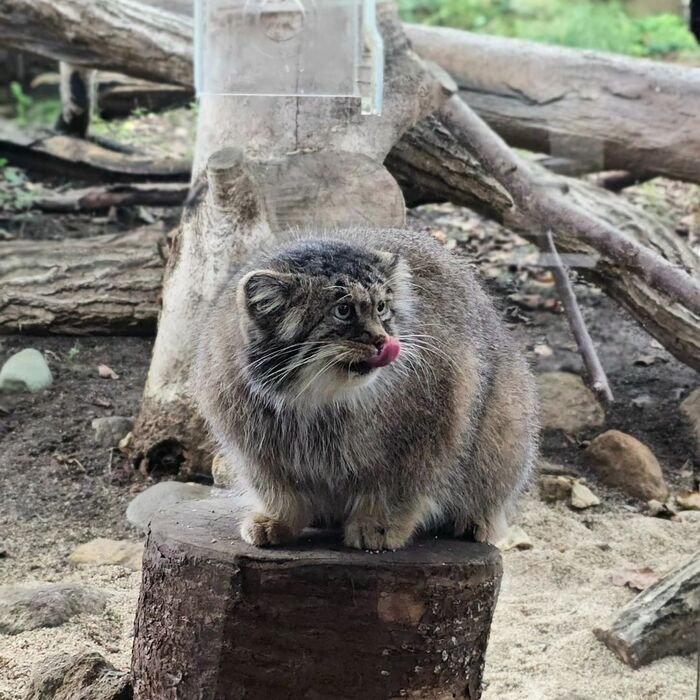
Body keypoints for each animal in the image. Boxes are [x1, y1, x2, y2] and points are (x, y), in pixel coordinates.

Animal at [194, 227, 540, 548]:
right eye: (343, 310)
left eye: (382, 307)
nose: (385, 341)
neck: (315, 401)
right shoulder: (258, 451)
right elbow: (280, 490)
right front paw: (278, 519)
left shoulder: (424, 439)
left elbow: (397, 489)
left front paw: (378, 526)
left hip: (505, 425)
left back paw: (476, 519)